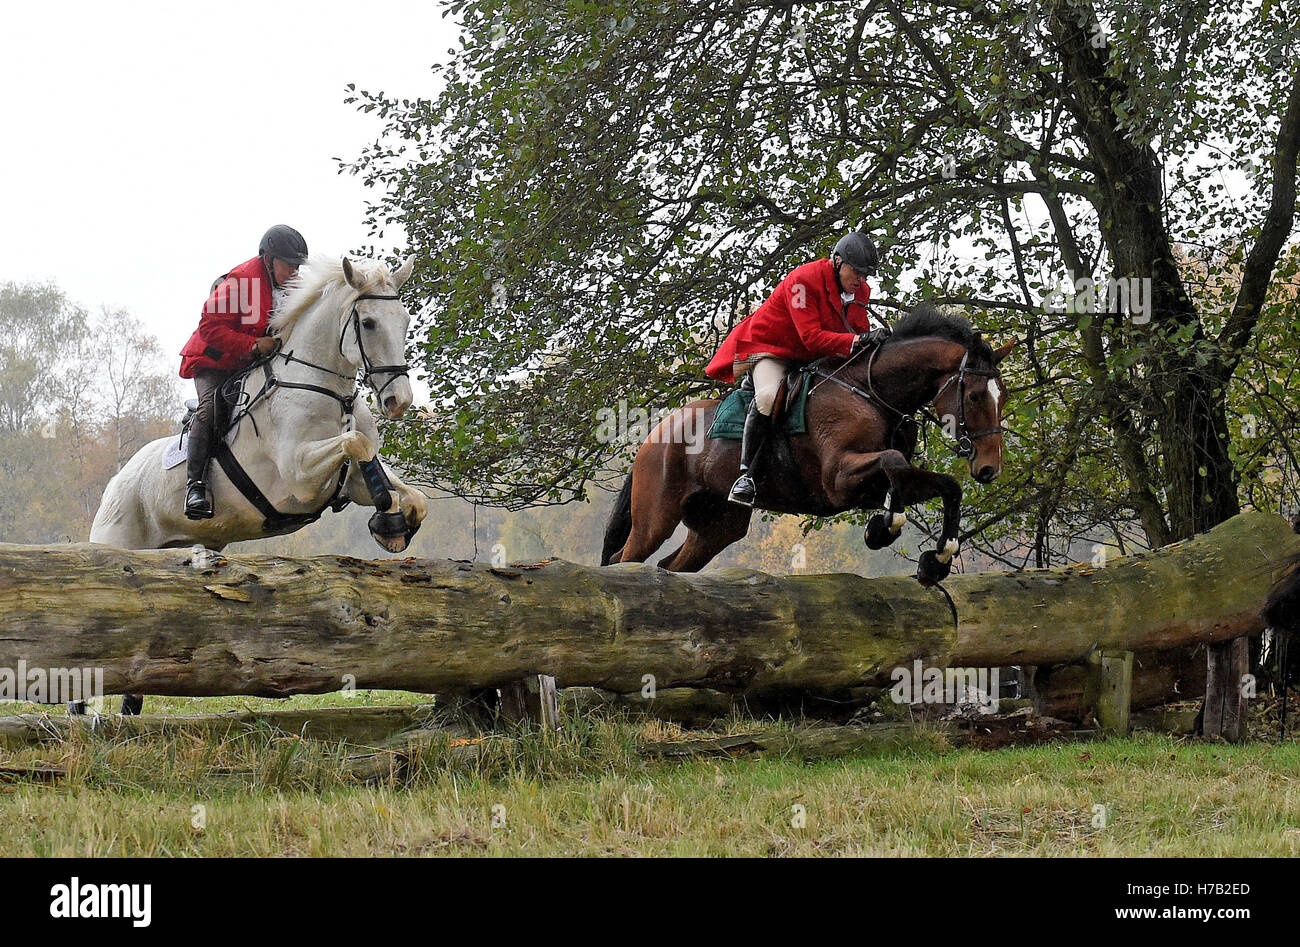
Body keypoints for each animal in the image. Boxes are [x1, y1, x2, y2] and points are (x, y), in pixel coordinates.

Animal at [89, 254, 431, 559]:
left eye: (405, 321)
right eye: (369, 323)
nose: (399, 401)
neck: (335, 396)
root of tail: (115, 483)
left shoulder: (352, 481)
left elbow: (413, 497)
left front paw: (393, 524)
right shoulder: (300, 475)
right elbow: (356, 442)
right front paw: (388, 515)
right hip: (119, 537)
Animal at [600, 305, 1013, 585]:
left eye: (1003, 396)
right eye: (975, 396)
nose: (989, 468)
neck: (871, 392)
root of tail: (653, 435)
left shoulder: (870, 485)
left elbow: (945, 485)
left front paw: (936, 558)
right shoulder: (838, 479)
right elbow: (893, 461)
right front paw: (885, 528)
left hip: (718, 525)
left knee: (671, 566)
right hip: (656, 517)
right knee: (626, 557)